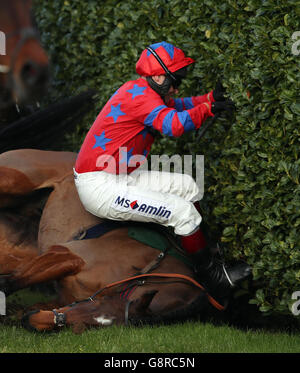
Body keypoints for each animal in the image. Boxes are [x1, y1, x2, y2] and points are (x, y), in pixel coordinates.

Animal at [0, 148, 247, 332]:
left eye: (95, 323)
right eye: (100, 303)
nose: (31, 319)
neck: (144, 268)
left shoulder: (61, 296)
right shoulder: (66, 254)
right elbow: (11, 283)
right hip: (12, 180)